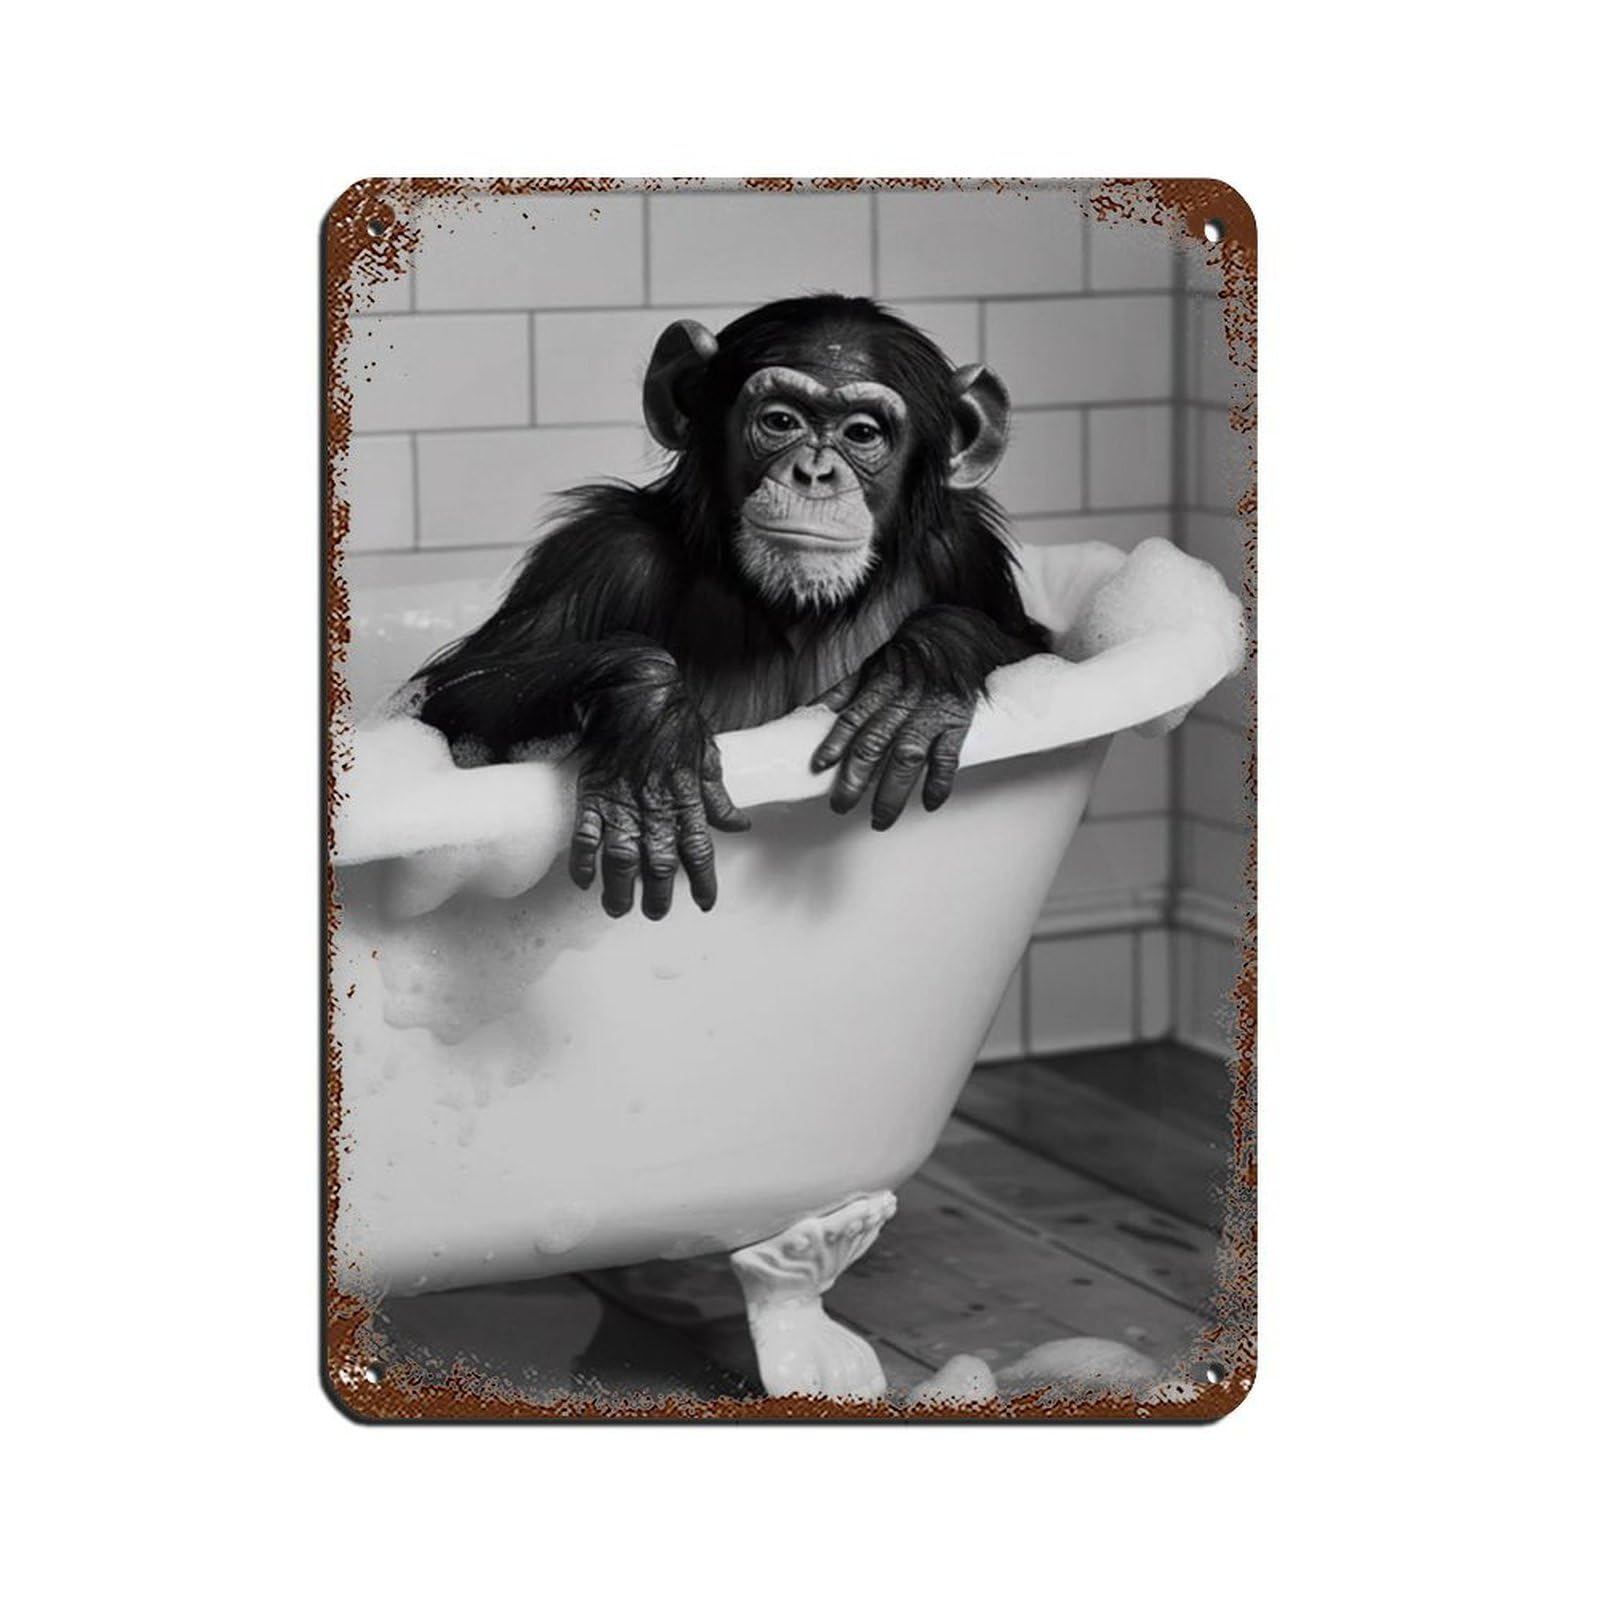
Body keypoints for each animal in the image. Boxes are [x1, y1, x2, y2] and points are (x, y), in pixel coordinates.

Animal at [409, 294, 1052, 920]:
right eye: (780, 421)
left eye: (863, 433)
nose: (815, 473)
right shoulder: (602, 552)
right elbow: (458, 694)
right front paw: (652, 720)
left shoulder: (964, 550)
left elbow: (1034, 645)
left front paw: (922, 671)